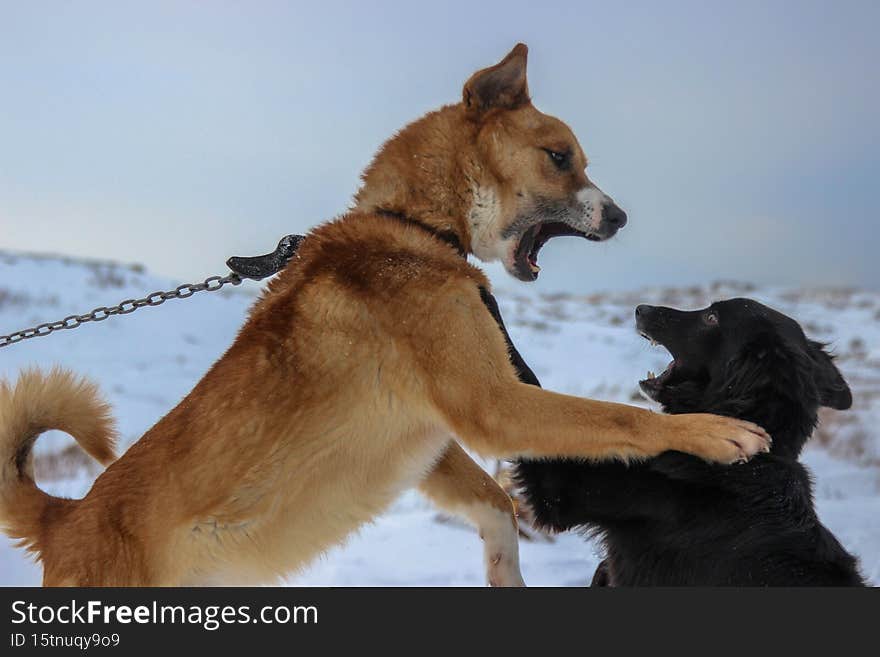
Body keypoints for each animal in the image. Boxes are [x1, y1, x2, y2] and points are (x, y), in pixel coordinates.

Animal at [0, 47, 768, 588]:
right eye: (560, 157)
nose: (619, 217)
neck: (416, 228)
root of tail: (66, 518)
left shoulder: (428, 437)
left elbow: (496, 504)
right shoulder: (490, 403)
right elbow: (626, 419)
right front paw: (715, 432)